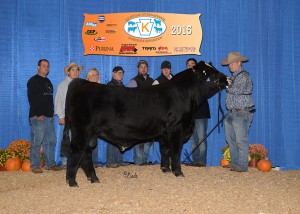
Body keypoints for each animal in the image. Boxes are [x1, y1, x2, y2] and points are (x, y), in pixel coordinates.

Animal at [62, 61, 229, 186]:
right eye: (211, 73)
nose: (227, 78)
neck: (185, 95)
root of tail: (81, 82)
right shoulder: (176, 130)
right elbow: (175, 152)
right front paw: (178, 172)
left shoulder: (164, 133)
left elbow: (165, 150)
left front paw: (165, 169)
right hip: (82, 131)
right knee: (76, 152)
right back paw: (72, 181)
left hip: (90, 134)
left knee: (86, 154)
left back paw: (94, 178)